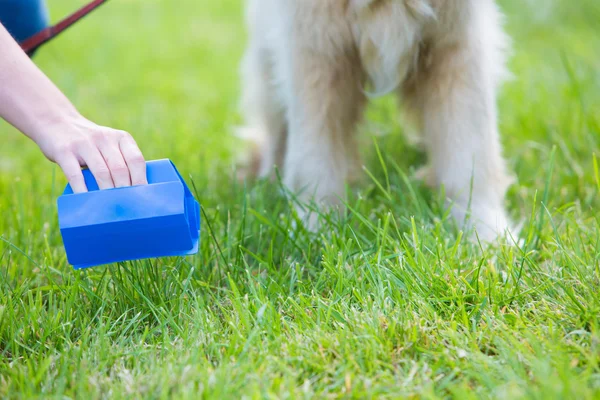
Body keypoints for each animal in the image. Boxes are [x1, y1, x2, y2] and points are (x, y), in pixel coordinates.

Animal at [239, 0, 516, 241]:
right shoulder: (316, 47)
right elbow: (316, 156)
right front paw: (317, 230)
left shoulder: (458, 44)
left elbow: (470, 154)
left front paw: (487, 236)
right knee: (276, 132)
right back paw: (265, 181)